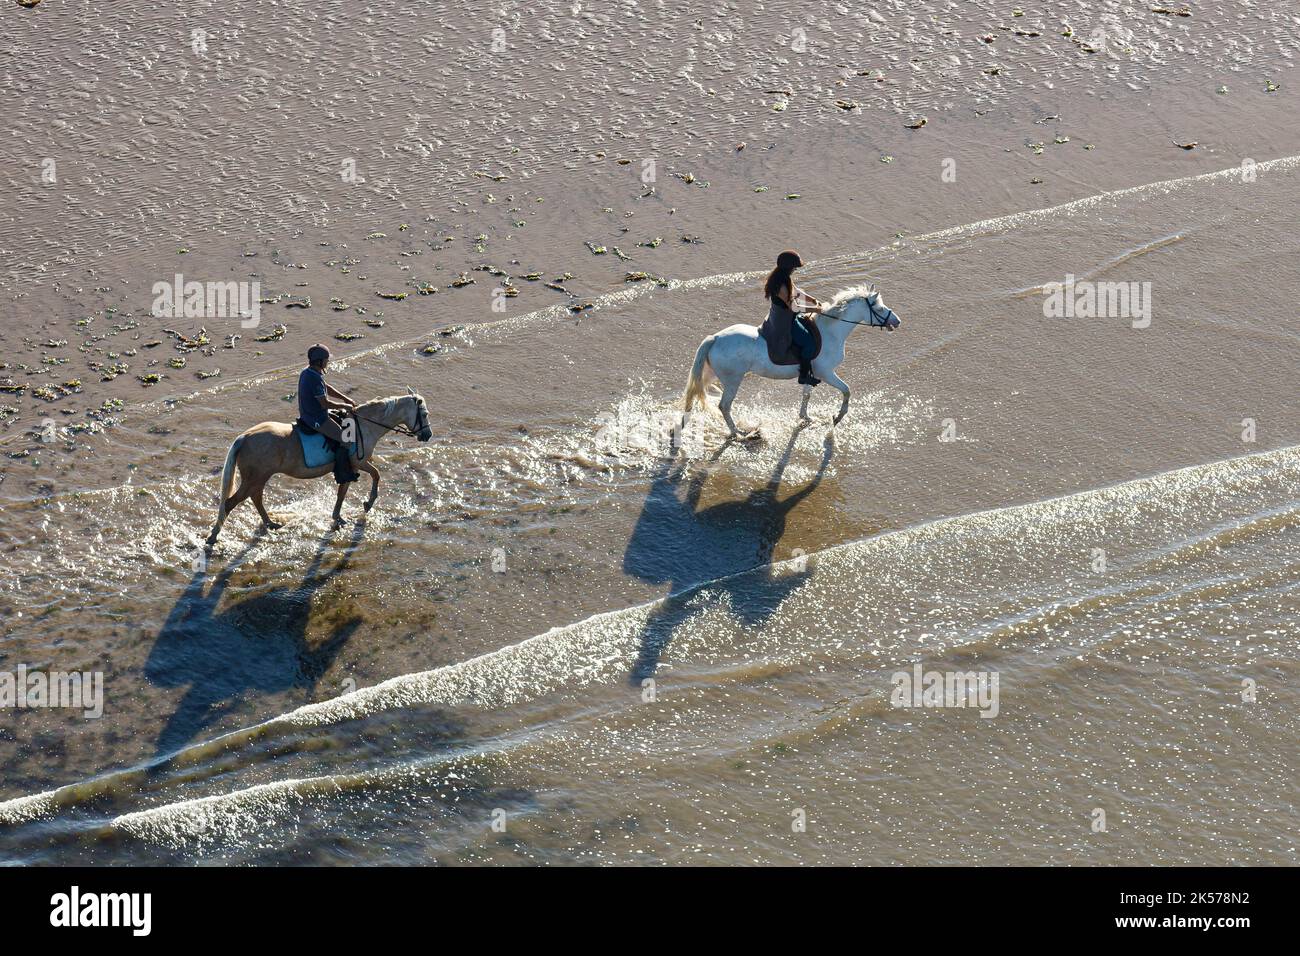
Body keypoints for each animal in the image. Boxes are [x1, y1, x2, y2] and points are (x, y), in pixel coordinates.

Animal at [205, 392, 431, 546]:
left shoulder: (350, 468)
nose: (427, 435)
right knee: (231, 502)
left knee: (255, 498)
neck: (364, 427)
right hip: (255, 477)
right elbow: (375, 475)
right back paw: (214, 536)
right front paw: (368, 503)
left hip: (259, 478)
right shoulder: (357, 463)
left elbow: (342, 493)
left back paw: (270, 523)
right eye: (425, 414)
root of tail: (244, 437)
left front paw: (338, 517)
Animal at [681, 280, 904, 437]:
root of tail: (716, 338)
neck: (831, 332)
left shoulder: (812, 374)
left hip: (711, 375)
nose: (897, 321)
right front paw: (837, 416)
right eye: (879, 308)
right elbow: (846, 390)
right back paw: (738, 433)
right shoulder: (826, 373)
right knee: (724, 406)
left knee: (694, 394)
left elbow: (806, 395)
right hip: (732, 380)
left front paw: (806, 417)